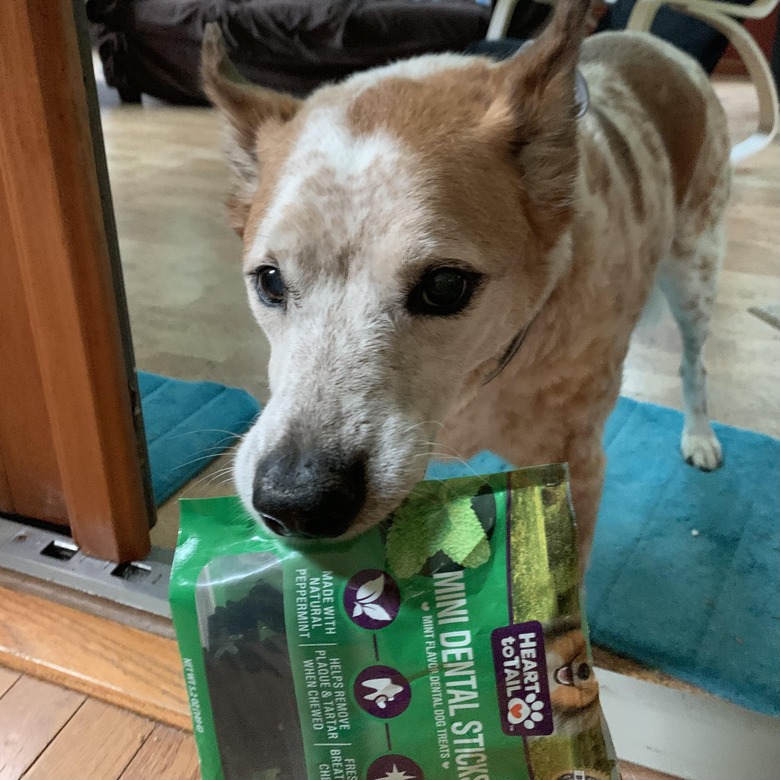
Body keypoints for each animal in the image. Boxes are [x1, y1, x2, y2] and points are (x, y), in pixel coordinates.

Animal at [201, 0, 732, 572]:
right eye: (270, 281)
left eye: (444, 286)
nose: (296, 501)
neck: (478, 381)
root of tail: (652, 44)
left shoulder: (578, 469)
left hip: (695, 270)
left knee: (694, 362)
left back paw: (700, 437)